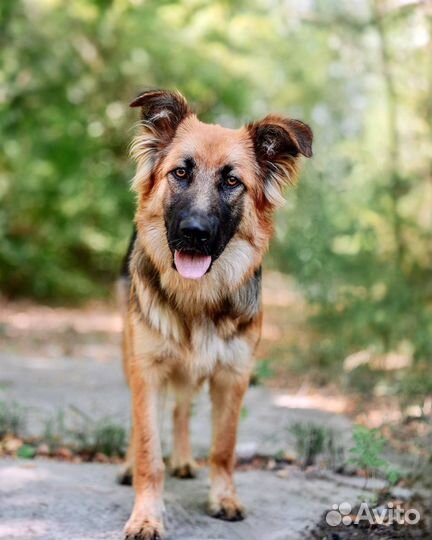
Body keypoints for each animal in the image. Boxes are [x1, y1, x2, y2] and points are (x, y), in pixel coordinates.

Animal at [120, 90, 312, 536]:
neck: (197, 298)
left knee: (181, 410)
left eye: (231, 181)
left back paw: (184, 459)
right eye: (180, 172)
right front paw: (146, 516)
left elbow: (223, 448)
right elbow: (148, 450)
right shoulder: (147, 371)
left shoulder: (232, 376)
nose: (194, 232)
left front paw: (223, 498)